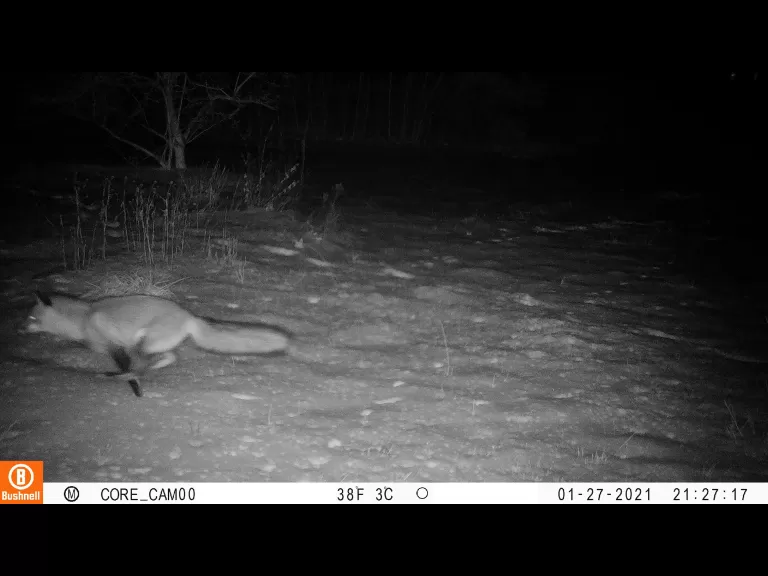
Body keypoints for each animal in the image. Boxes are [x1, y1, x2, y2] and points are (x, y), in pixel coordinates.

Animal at [23, 291, 292, 398]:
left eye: (32, 318)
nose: (20, 329)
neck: (84, 319)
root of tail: (188, 315)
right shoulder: (116, 348)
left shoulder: (117, 347)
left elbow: (129, 370)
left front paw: (135, 389)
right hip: (151, 346)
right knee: (170, 358)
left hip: (144, 345)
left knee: (145, 366)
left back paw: (121, 377)